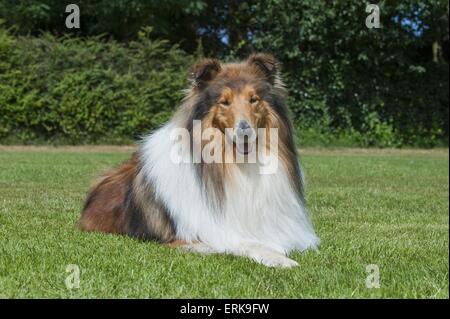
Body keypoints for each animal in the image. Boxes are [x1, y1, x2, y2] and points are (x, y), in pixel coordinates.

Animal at [81, 53, 320, 268]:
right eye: (224, 102)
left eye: (254, 99)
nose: (245, 133)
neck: (235, 164)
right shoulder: (205, 234)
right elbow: (247, 244)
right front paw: (279, 258)